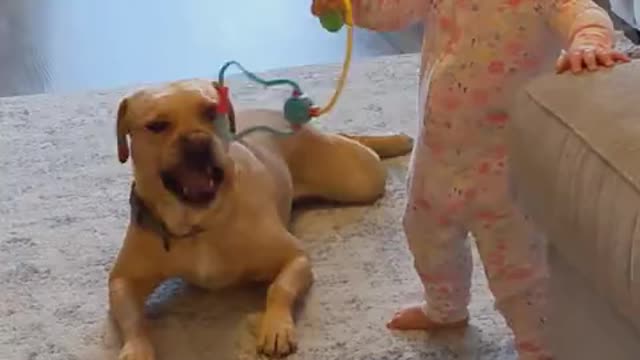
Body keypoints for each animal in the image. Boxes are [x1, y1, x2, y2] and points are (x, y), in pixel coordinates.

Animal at [107, 78, 412, 358]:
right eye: (157, 125)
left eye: (210, 112)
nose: (197, 141)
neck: (199, 222)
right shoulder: (122, 281)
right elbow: (133, 320)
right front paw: (136, 350)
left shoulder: (295, 257)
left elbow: (279, 288)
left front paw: (276, 327)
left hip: (360, 178)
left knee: (352, 140)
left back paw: (396, 141)